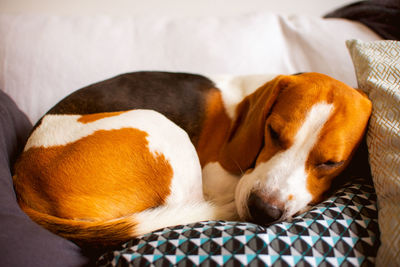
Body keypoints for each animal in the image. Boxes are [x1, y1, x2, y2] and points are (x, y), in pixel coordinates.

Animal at [12, 71, 372, 247]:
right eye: (272, 131)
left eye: (331, 163)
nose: (263, 211)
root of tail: (22, 179)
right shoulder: (216, 174)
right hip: (163, 129)